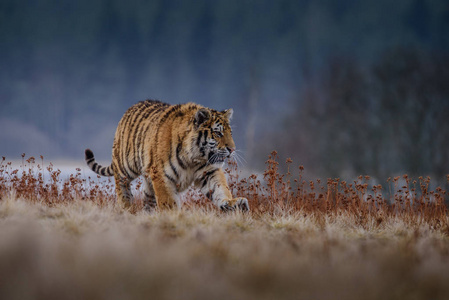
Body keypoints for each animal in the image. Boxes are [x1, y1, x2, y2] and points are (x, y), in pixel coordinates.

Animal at [84, 99, 248, 212]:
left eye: (230, 133)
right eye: (218, 133)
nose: (232, 149)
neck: (194, 158)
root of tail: (129, 109)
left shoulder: (209, 171)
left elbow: (220, 188)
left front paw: (233, 203)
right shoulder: (161, 175)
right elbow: (168, 201)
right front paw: (174, 216)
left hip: (148, 182)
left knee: (147, 200)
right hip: (125, 166)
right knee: (121, 184)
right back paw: (126, 207)